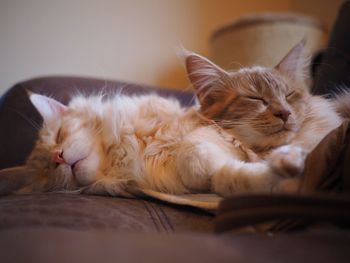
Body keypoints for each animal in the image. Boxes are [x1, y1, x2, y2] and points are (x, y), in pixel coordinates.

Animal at [0, 42, 348, 197]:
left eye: (59, 136)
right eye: (45, 172)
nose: (58, 158)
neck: (131, 151)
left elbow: (199, 149)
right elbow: (230, 176)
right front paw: (284, 171)